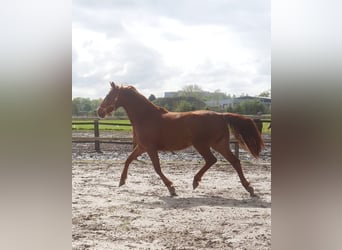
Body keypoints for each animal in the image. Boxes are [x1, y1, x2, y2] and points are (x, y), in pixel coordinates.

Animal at [97, 83, 264, 196]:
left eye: (109, 96)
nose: (99, 111)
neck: (146, 117)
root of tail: (220, 115)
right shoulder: (142, 147)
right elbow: (128, 160)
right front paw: (122, 181)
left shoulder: (150, 148)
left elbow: (157, 168)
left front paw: (171, 188)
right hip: (219, 144)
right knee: (234, 161)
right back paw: (249, 188)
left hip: (202, 145)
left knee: (212, 160)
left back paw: (196, 181)